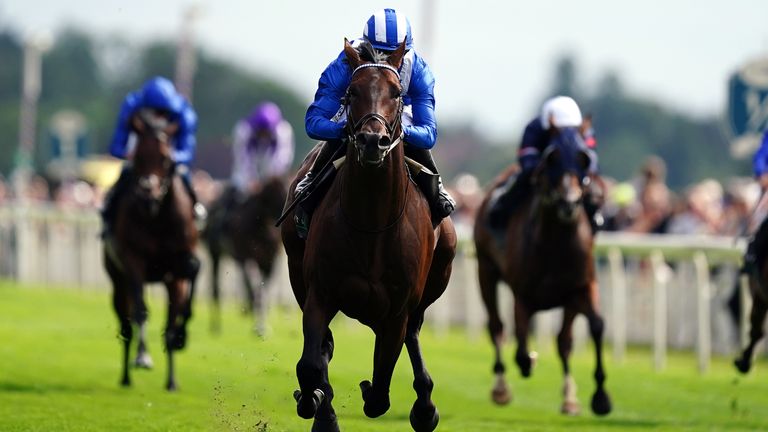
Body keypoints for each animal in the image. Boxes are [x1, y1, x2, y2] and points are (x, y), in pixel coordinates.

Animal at [103, 108, 202, 392]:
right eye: (137, 157)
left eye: (166, 158)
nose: (148, 193)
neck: (156, 217)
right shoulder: (133, 261)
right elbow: (140, 311)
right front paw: (143, 357)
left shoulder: (178, 269)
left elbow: (173, 320)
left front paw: (172, 379)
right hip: (118, 281)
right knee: (126, 324)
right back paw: (126, 376)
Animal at [202, 176, 286, 334]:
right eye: (274, 194)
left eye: (286, 190)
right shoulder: (247, 257)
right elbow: (256, 286)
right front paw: (258, 325)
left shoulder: (269, 262)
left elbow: (263, 288)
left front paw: (262, 323)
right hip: (214, 253)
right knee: (215, 287)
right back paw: (215, 325)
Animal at [280, 38, 456, 430]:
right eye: (351, 91)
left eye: (397, 93)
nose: (372, 141)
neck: (372, 224)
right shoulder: (320, 293)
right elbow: (311, 364)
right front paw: (317, 403)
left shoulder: (396, 312)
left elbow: (379, 392)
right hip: (296, 272)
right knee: (324, 349)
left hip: (439, 271)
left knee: (414, 334)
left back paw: (425, 406)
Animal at [474, 128, 612, 416]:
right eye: (551, 159)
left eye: (584, 160)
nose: (569, 204)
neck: (556, 245)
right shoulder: (523, 295)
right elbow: (521, 347)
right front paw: (528, 363)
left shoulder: (579, 289)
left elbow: (590, 329)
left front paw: (597, 396)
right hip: (485, 270)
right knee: (496, 326)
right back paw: (501, 388)